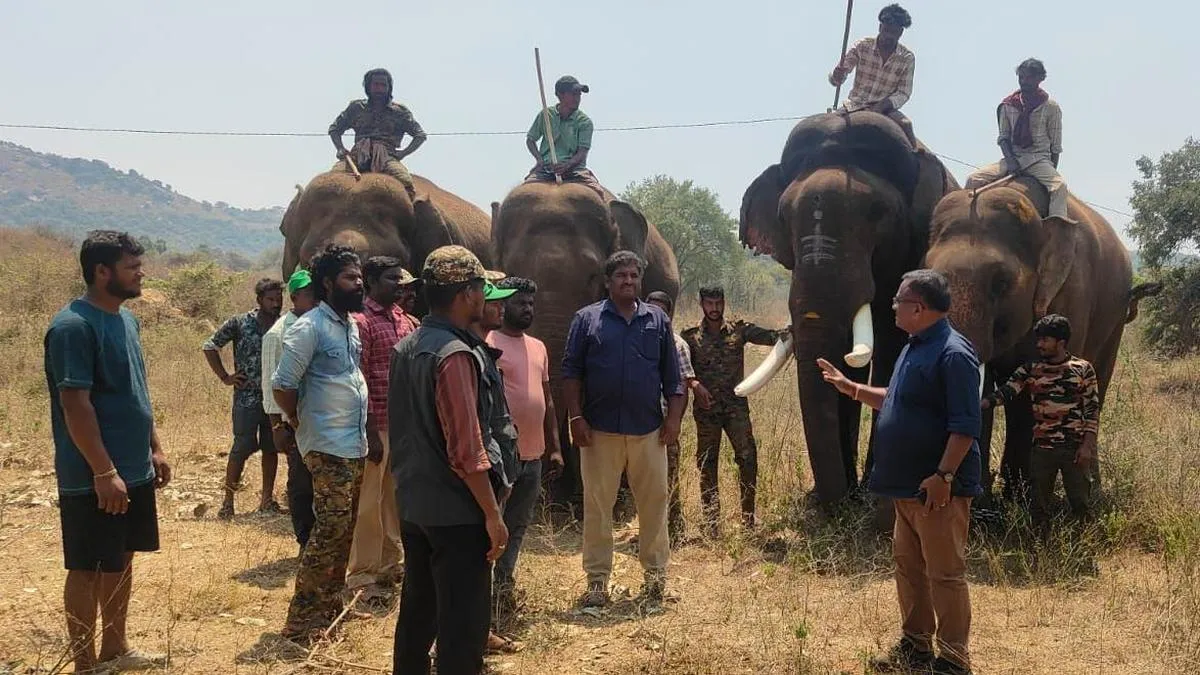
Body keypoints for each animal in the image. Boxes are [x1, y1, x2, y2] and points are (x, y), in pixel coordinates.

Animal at [924, 177, 1160, 497]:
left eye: (1001, 283)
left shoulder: (1072, 293)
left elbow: (1032, 392)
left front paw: (1019, 497)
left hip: (1115, 317)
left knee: (1098, 386)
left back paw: (1089, 490)